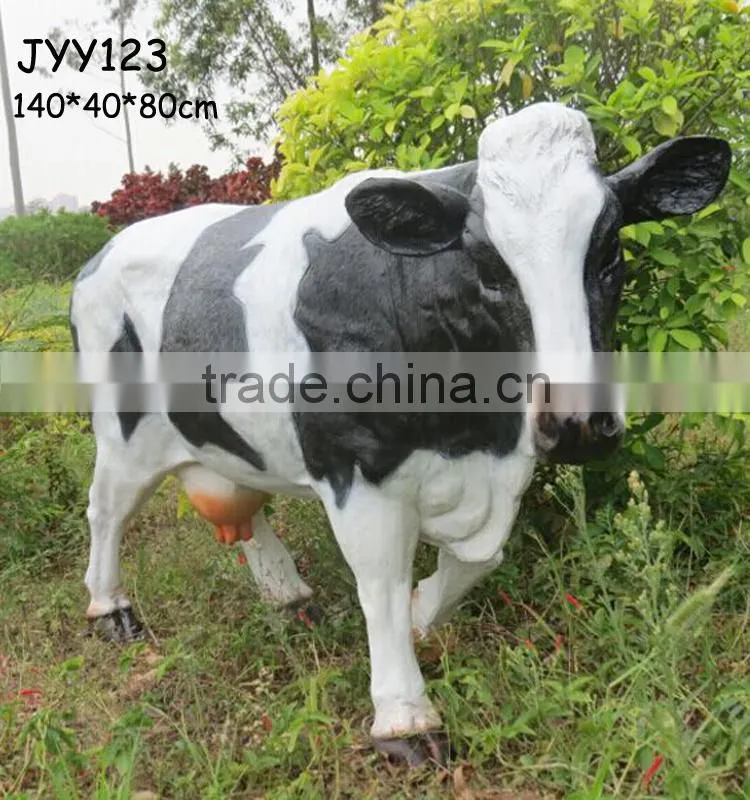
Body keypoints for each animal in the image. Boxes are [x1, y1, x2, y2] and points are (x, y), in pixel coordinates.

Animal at [69, 102, 731, 766]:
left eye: (609, 252)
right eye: (486, 267)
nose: (576, 424)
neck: (465, 431)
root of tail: (99, 257)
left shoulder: (498, 461)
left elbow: (476, 560)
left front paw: (421, 614)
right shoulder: (353, 467)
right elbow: (382, 583)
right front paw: (405, 719)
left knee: (236, 507)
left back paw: (287, 595)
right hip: (122, 432)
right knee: (107, 510)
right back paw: (111, 608)